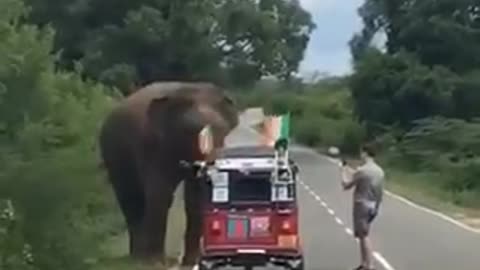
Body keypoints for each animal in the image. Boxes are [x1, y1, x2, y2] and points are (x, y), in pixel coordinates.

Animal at [98, 81, 239, 264]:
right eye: (189, 131)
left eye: (223, 131)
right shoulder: (152, 144)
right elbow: (160, 193)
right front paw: (156, 263)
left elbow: (195, 197)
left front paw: (190, 263)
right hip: (112, 151)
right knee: (130, 197)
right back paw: (137, 258)